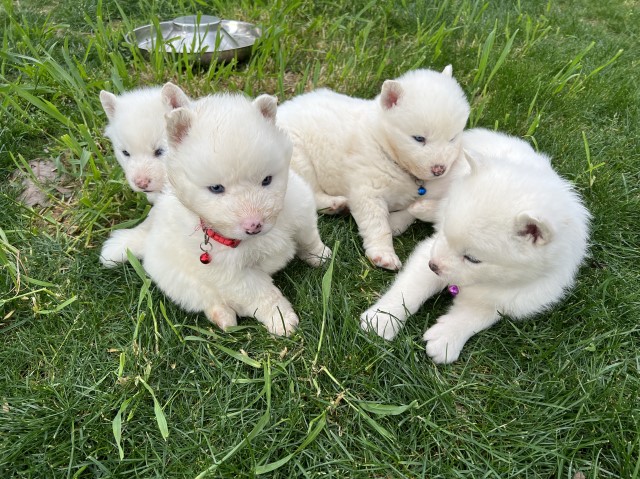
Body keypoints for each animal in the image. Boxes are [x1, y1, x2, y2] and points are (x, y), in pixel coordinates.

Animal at [100, 91, 332, 338]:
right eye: (216, 188)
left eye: (267, 180)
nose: (254, 225)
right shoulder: (233, 277)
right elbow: (263, 295)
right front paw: (281, 319)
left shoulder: (301, 210)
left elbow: (309, 239)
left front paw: (321, 256)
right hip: (179, 280)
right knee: (206, 300)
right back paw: (224, 317)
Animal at [276, 66, 470, 270]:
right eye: (419, 138)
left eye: (452, 138)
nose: (439, 169)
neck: (385, 146)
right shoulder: (368, 190)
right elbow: (377, 224)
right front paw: (384, 254)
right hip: (300, 158)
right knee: (310, 192)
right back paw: (335, 204)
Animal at [360, 128, 592, 364]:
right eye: (445, 236)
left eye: (473, 259)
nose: (433, 266)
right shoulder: (430, 250)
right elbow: (410, 290)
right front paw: (382, 319)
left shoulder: (513, 295)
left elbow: (476, 315)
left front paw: (446, 338)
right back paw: (405, 217)